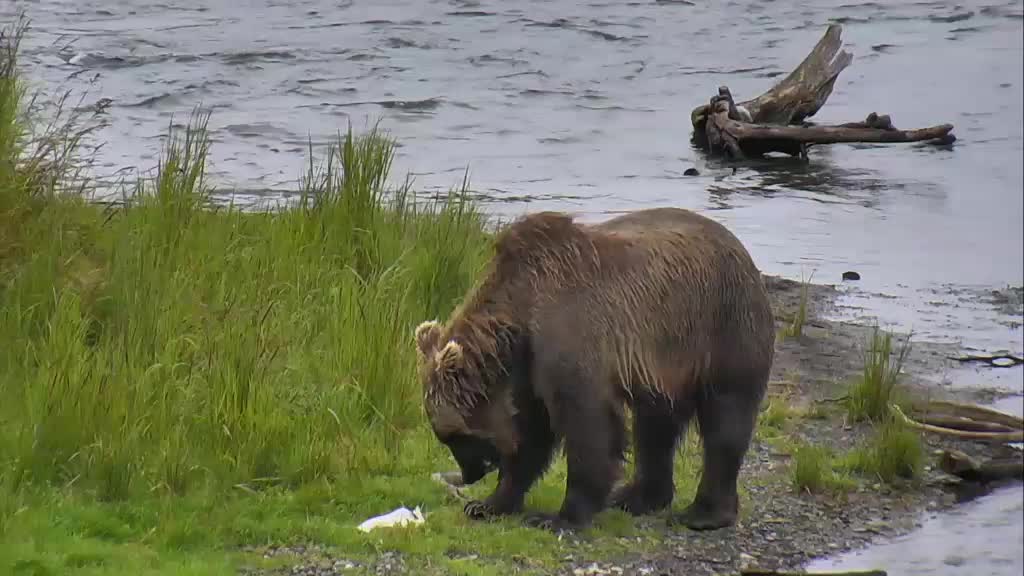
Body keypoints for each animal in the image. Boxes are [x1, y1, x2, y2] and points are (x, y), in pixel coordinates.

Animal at [411, 204, 770, 528]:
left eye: (455, 434)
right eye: (444, 435)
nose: (470, 474)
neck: (519, 317)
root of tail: (742, 250)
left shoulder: (568, 338)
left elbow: (587, 424)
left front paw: (561, 517)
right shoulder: (527, 367)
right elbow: (531, 430)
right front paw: (487, 504)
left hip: (720, 327)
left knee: (725, 419)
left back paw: (704, 514)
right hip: (665, 363)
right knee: (655, 428)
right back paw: (637, 497)